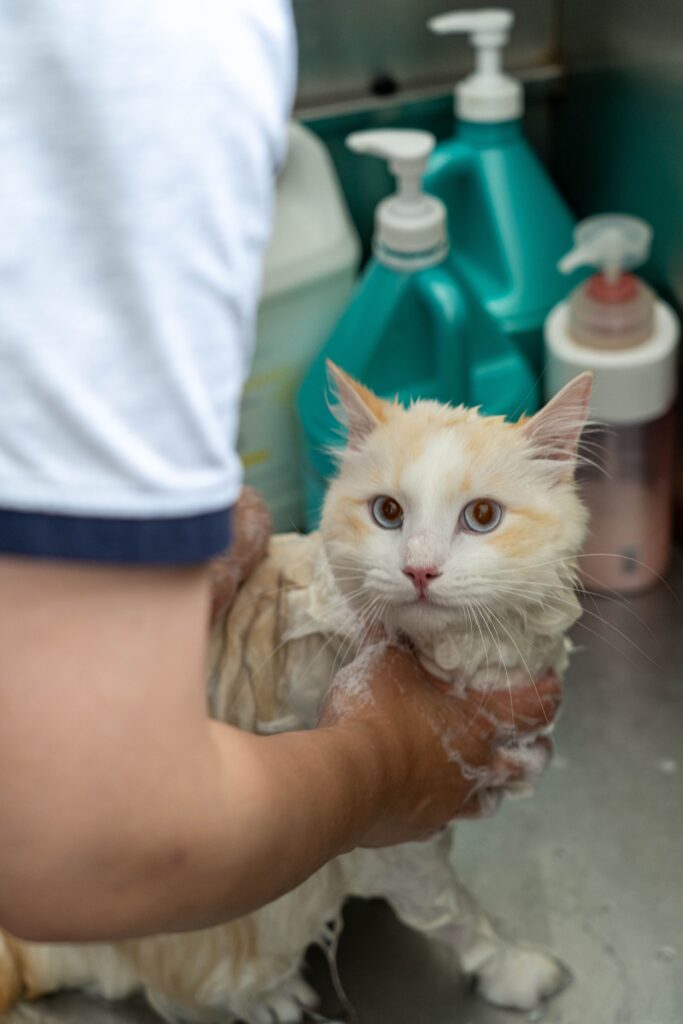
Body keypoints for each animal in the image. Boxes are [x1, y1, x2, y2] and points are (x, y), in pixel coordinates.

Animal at [0, 366, 593, 1024]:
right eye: (388, 513)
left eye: (483, 516)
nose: (419, 570)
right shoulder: (400, 837)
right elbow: (457, 911)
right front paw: (511, 970)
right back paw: (272, 998)